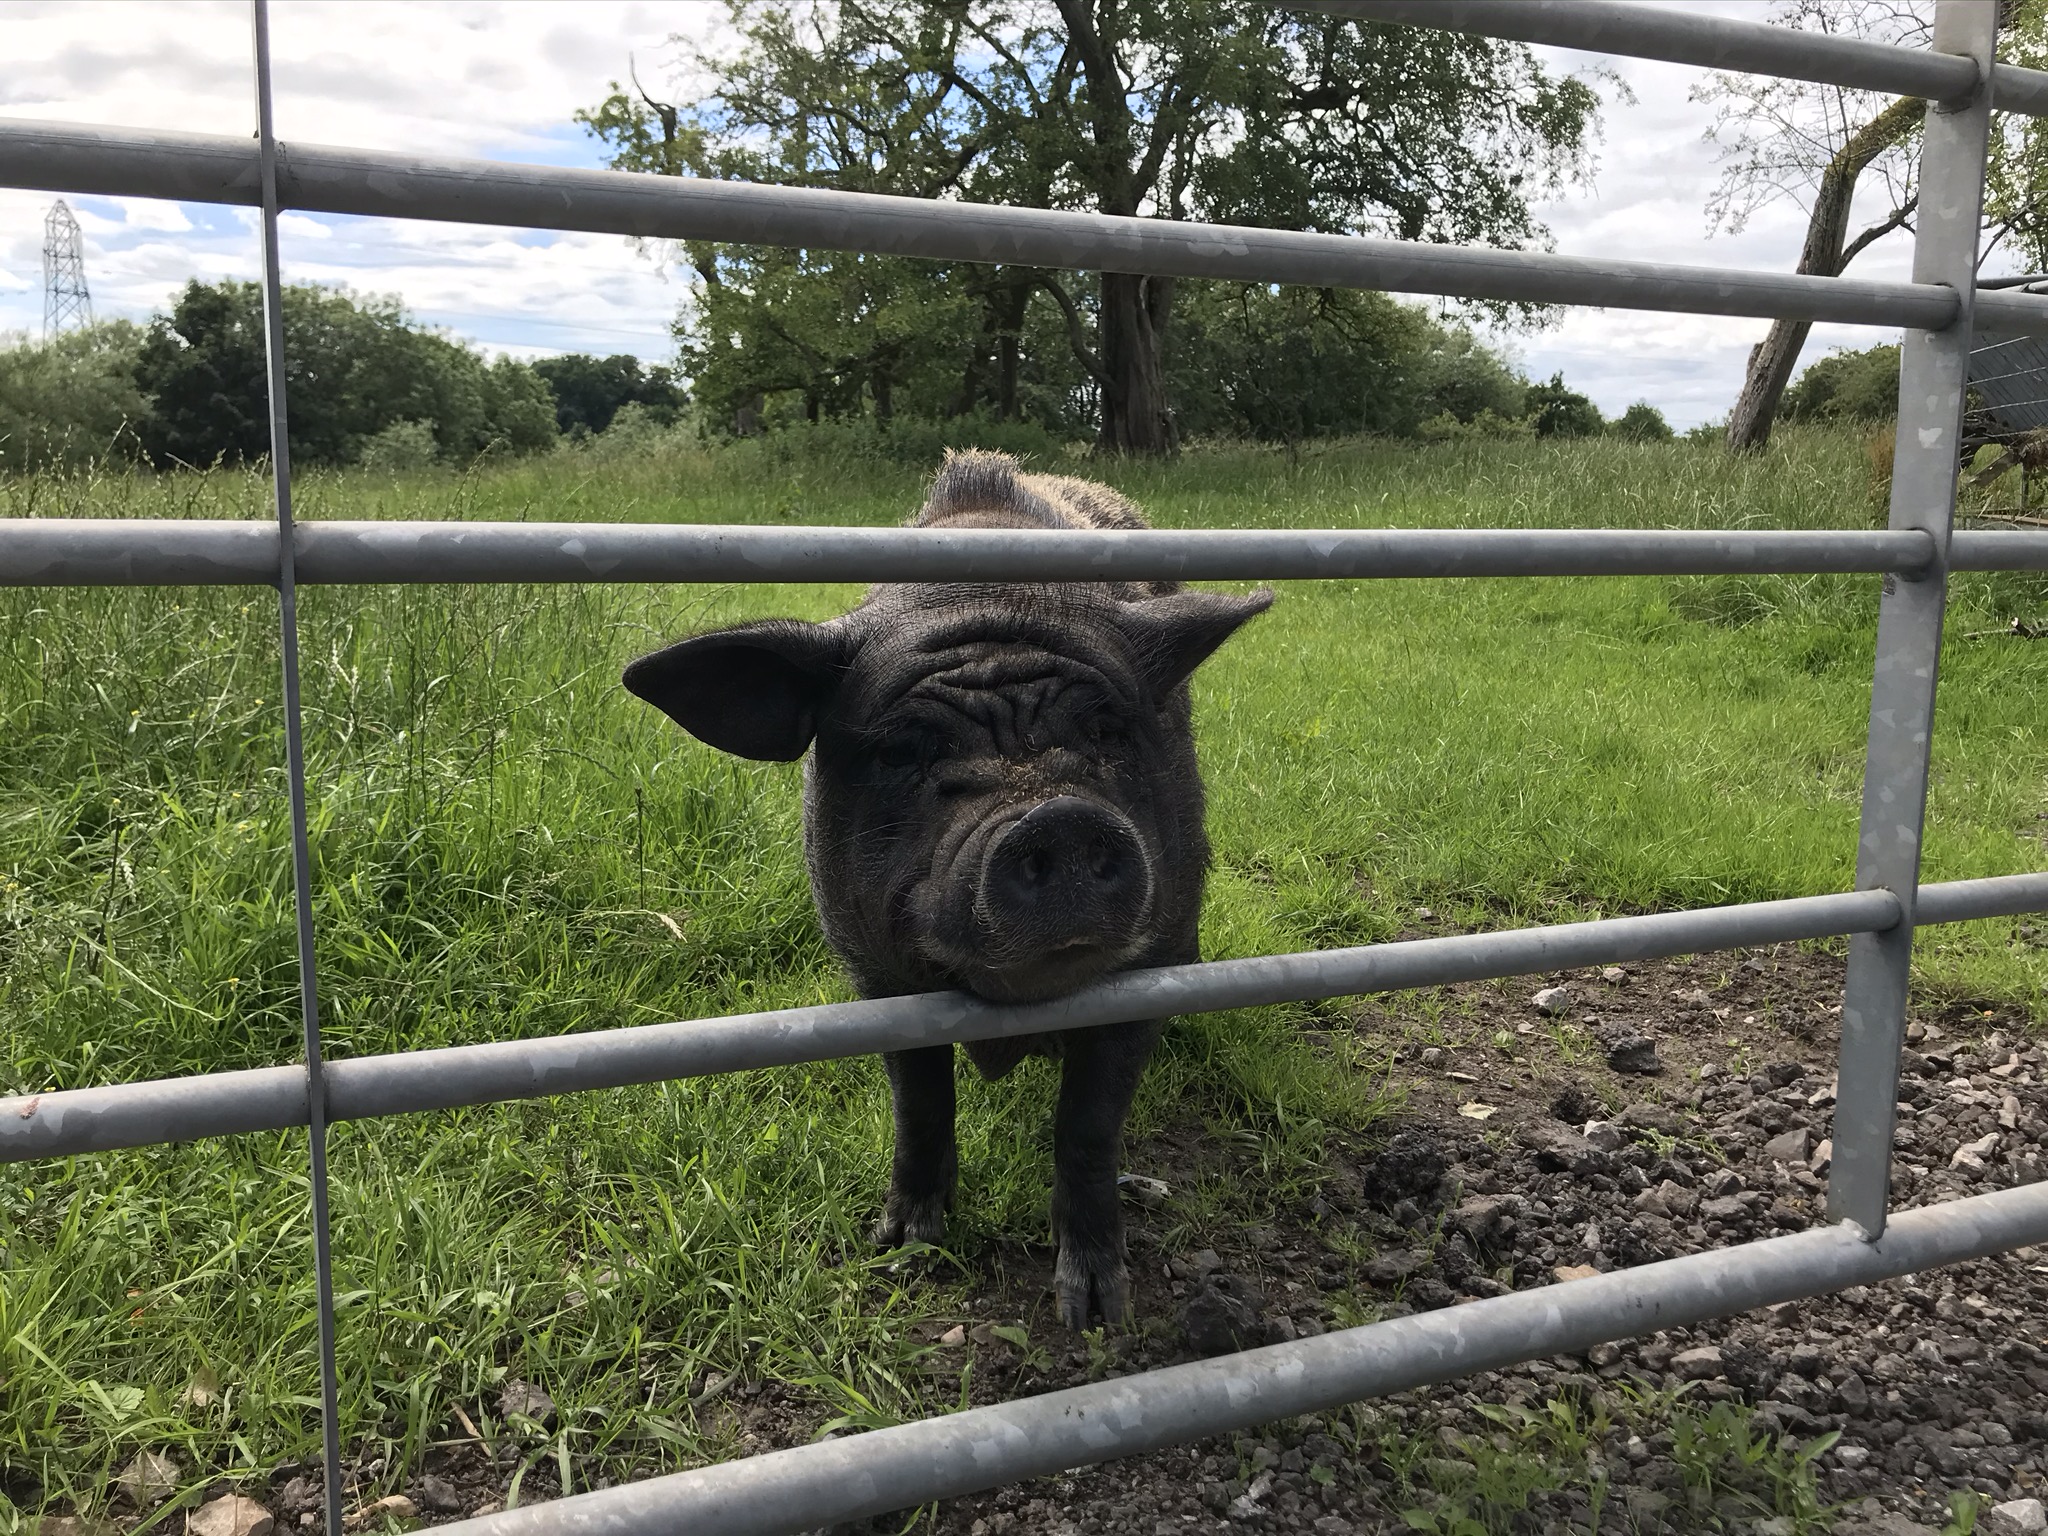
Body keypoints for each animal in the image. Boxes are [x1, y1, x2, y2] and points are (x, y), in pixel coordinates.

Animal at [622, 449, 1269, 1327]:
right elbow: (920, 1097)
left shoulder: (1149, 961)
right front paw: (902, 1249)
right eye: (903, 749)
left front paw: (1096, 1313)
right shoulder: (873, 974)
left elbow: (1089, 1124)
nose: (1058, 816)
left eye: (1107, 731)